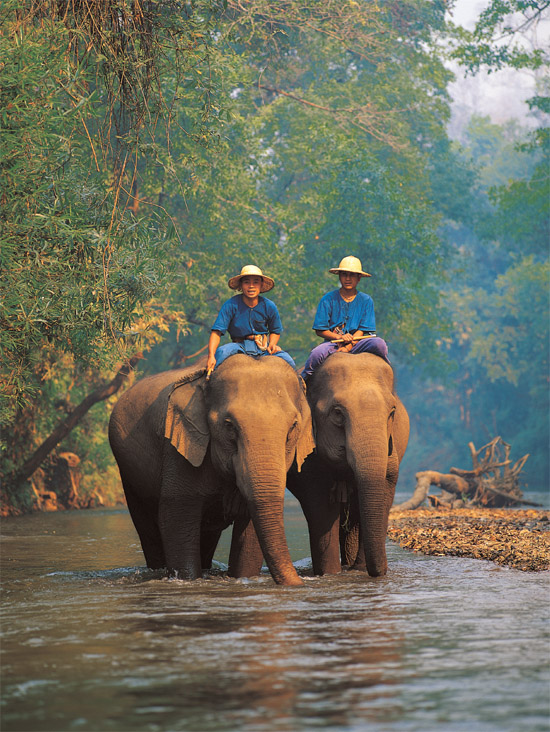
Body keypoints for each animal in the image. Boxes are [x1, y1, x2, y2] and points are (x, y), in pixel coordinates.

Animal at [108, 352, 314, 588]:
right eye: (229, 425)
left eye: (293, 427)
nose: (300, 583)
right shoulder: (179, 451)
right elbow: (175, 520)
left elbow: (249, 531)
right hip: (129, 476)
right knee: (148, 529)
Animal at [288, 350, 410, 576]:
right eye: (337, 413)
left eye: (392, 412)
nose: (383, 570)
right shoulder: (309, 456)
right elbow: (321, 505)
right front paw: (329, 574)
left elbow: (384, 491)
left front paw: (361, 570)